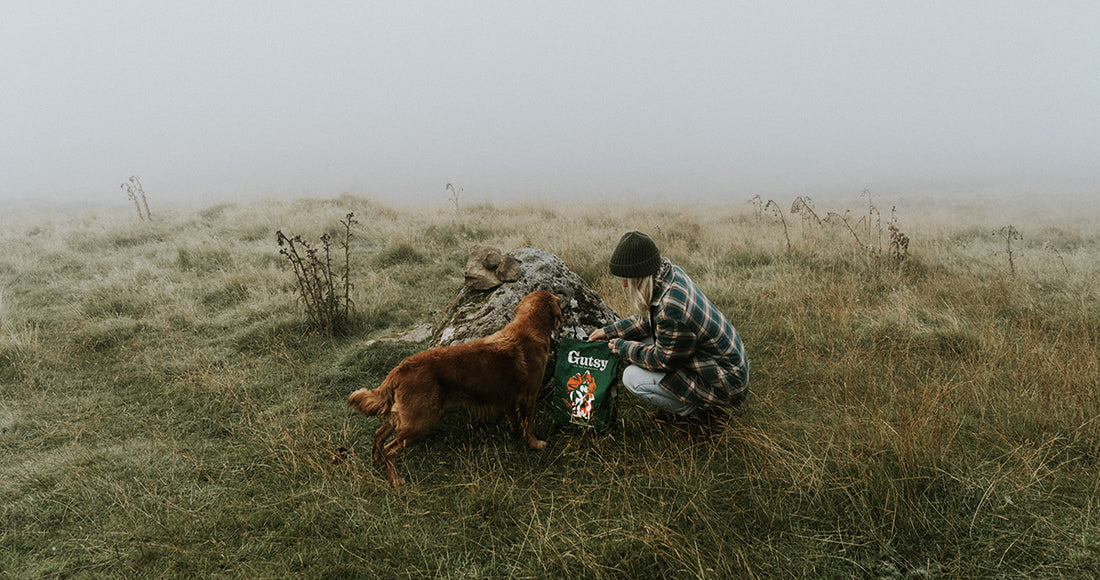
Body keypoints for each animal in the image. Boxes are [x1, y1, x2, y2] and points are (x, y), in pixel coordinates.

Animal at [349, 288, 563, 486]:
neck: (528, 327)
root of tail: (401, 368)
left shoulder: (509, 397)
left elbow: (515, 419)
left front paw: (517, 433)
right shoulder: (529, 395)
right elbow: (529, 424)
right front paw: (535, 444)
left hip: (404, 417)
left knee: (379, 434)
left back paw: (376, 461)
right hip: (421, 420)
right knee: (390, 449)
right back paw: (394, 480)